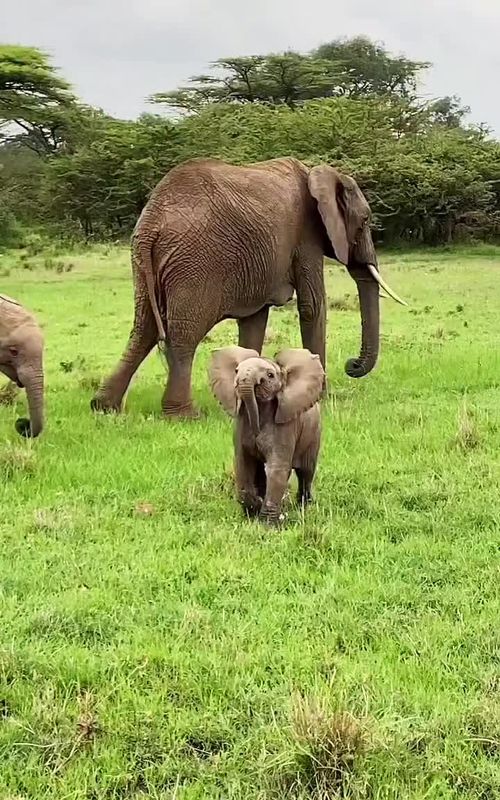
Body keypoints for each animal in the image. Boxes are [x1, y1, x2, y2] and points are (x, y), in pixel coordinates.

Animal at [91, 157, 405, 419]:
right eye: (364, 221)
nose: (352, 365)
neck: (318, 173)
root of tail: (152, 221)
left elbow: (255, 320)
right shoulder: (306, 237)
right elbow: (312, 307)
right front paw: (319, 397)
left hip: (144, 262)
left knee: (143, 329)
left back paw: (104, 407)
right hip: (194, 264)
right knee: (183, 334)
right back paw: (184, 415)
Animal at [209, 345, 324, 525]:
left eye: (270, 375)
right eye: (236, 371)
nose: (256, 436)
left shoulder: (285, 427)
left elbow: (276, 468)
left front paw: (267, 524)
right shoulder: (241, 423)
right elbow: (244, 464)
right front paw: (253, 510)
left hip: (313, 434)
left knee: (306, 472)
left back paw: (303, 507)